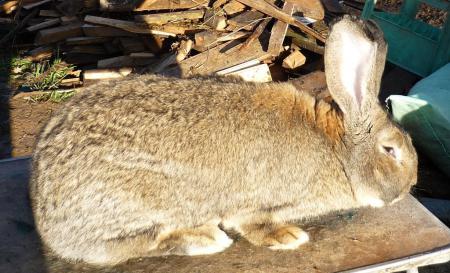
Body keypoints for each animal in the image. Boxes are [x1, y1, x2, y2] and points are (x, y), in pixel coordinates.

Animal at [30, 15, 418, 264]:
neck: (337, 151)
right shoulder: (257, 205)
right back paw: (203, 239)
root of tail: (44, 218)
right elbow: (252, 224)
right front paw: (287, 237)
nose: (408, 188)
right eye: (390, 150)